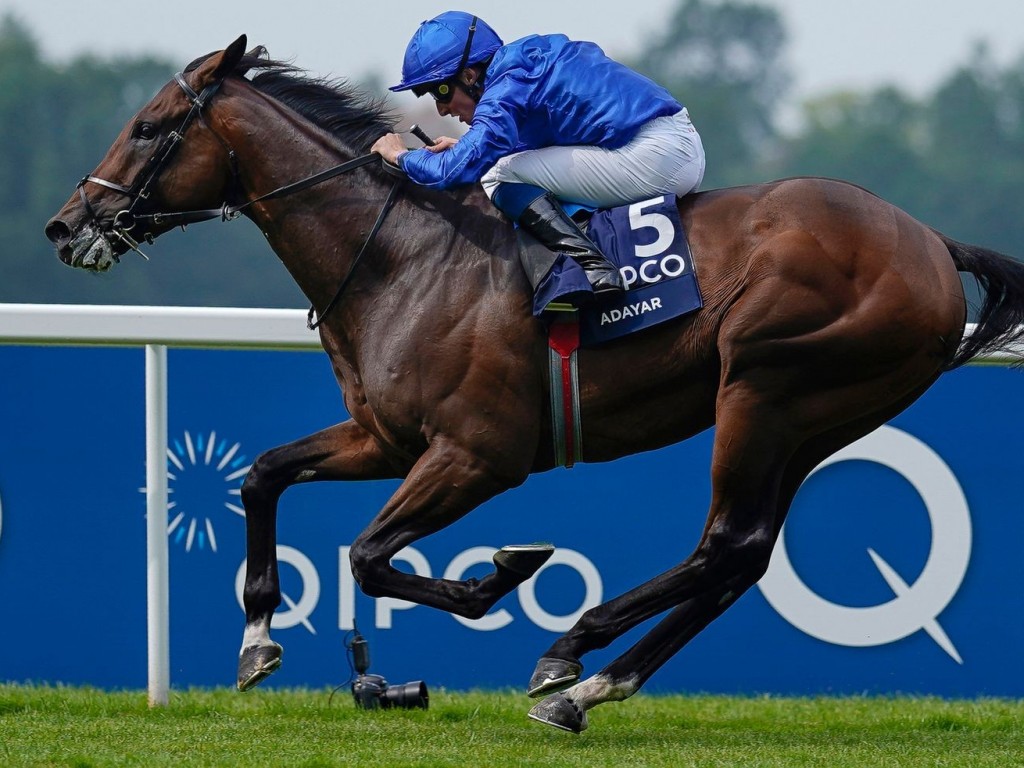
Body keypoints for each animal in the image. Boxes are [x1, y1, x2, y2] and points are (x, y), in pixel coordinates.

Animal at [46, 37, 1024, 733]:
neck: (405, 256)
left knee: (725, 543)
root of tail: (931, 244)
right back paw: (587, 688)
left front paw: (500, 578)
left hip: (767, 389)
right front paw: (255, 642)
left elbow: (371, 556)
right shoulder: (388, 438)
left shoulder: (479, 455)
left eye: (147, 127)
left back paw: (571, 652)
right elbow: (263, 474)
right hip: (817, 419)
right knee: (742, 555)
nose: (65, 223)